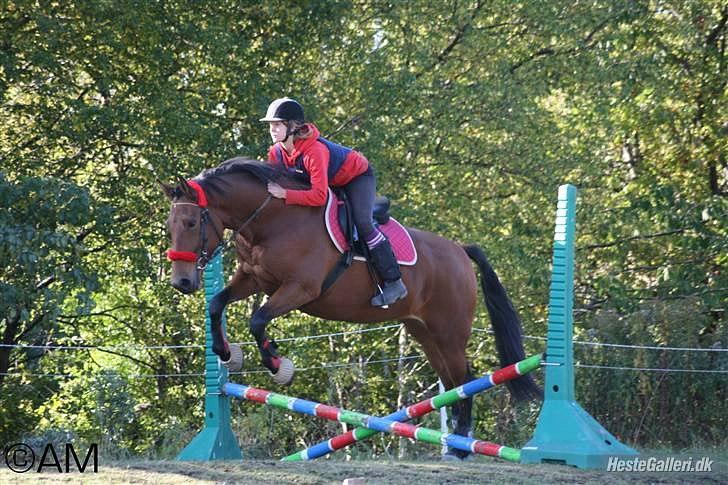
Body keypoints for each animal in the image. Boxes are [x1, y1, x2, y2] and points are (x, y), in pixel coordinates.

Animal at [164, 156, 540, 458]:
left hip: (449, 331)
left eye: (192, 223)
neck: (272, 220)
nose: (182, 282)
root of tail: (460, 250)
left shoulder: (300, 289)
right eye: (170, 227)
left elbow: (258, 320)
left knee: (467, 379)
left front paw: (277, 365)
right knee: (453, 381)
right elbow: (217, 304)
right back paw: (456, 446)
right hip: (425, 332)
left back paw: (462, 446)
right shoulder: (253, 280)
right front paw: (227, 353)